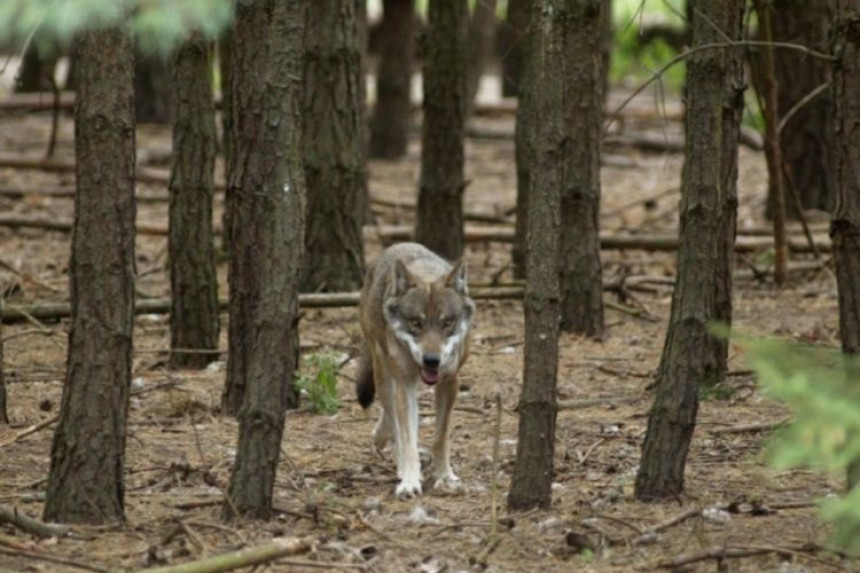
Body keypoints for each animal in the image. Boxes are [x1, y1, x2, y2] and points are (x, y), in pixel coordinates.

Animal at [356, 241, 478, 496]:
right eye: (416, 323)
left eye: (447, 322)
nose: (431, 360)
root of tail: (397, 245)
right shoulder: (405, 383)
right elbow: (406, 437)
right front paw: (410, 480)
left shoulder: (450, 382)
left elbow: (441, 436)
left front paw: (444, 475)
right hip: (383, 374)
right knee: (393, 419)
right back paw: (397, 460)